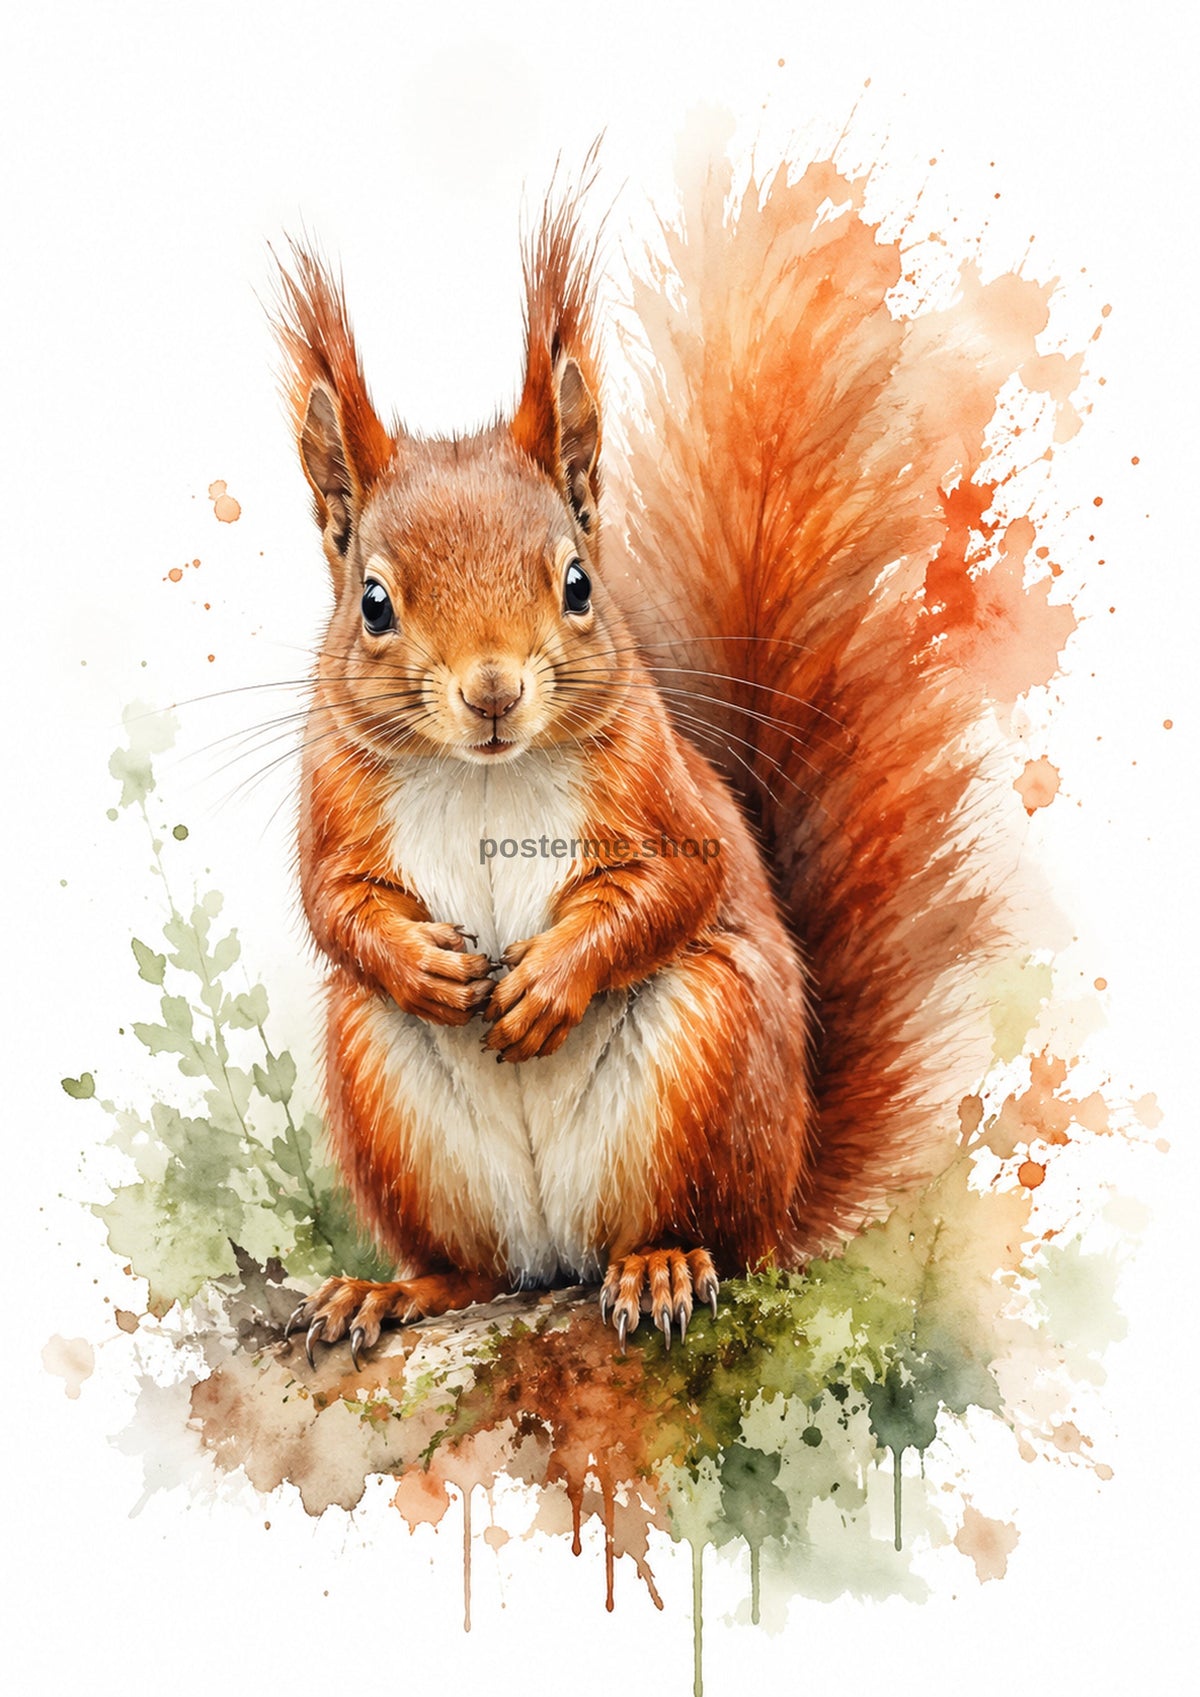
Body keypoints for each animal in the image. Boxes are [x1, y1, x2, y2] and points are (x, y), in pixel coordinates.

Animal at [279, 153, 994, 1367]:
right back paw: (398, 1290)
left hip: (708, 1056)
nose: (492, 691)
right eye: (373, 603)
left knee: (708, 1237)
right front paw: (423, 962)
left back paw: (660, 1263)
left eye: (576, 581)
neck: (487, 777)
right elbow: (332, 902)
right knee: (475, 1265)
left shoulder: (660, 788)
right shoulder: (335, 798)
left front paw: (548, 981)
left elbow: (677, 882)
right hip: (386, 1093)